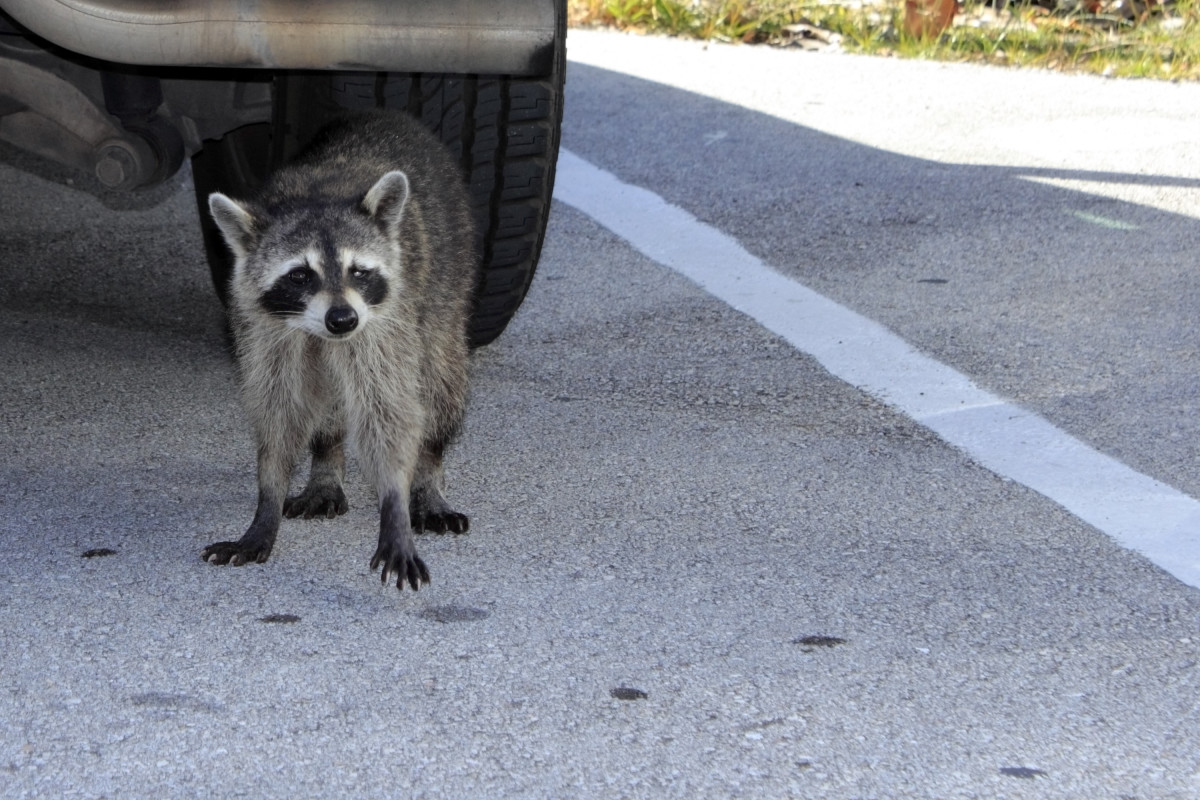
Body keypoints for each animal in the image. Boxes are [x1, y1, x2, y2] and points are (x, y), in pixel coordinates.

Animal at [200, 109, 472, 592]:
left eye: (358, 271)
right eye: (299, 275)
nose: (342, 320)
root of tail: (390, 114)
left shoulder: (384, 321)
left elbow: (389, 410)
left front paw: (395, 503)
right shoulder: (263, 327)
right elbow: (279, 410)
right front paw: (268, 498)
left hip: (447, 287)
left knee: (440, 383)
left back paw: (428, 472)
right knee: (325, 403)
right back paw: (326, 460)